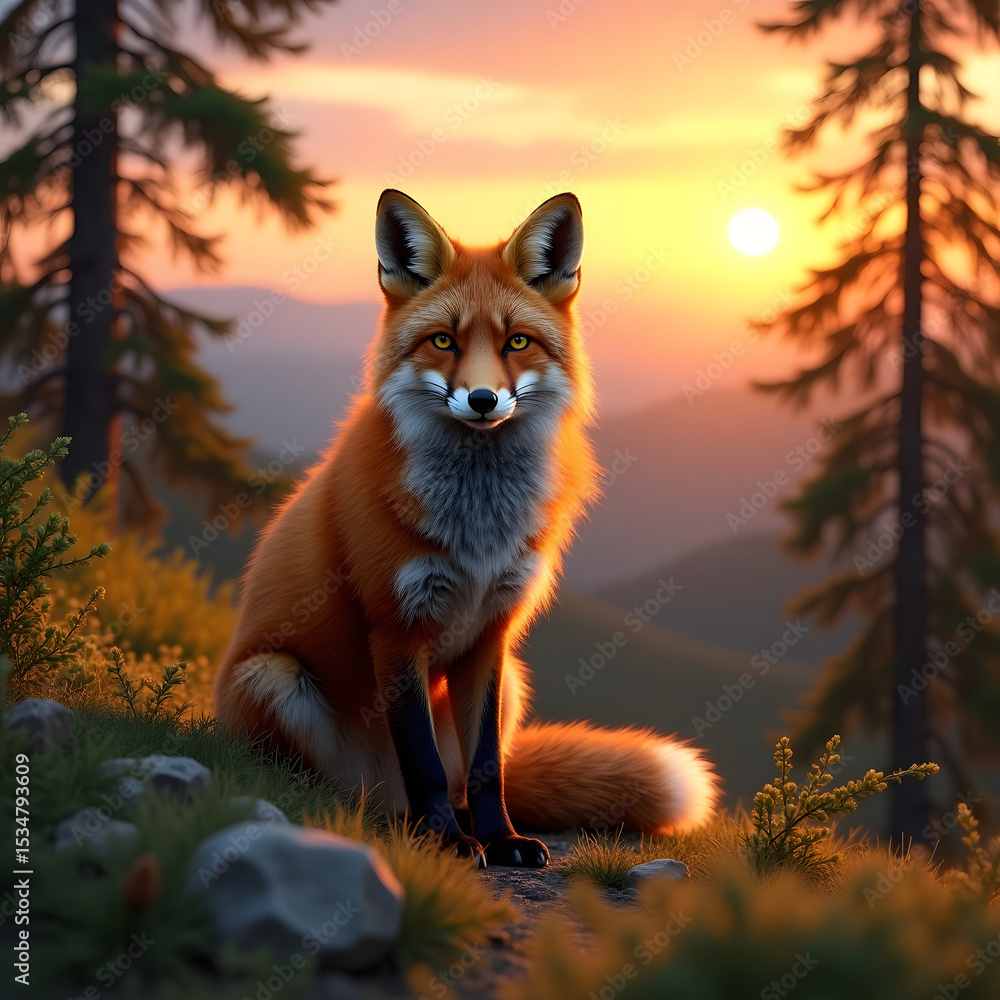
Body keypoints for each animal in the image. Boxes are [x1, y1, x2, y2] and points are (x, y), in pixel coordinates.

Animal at [214, 189, 719, 868]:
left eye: (518, 342)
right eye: (444, 341)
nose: (482, 400)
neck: (478, 529)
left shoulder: (491, 635)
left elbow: (486, 769)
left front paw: (500, 840)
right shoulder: (396, 627)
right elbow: (423, 761)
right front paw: (448, 843)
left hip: (515, 686)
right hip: (273, 678)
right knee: (339, 789)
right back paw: (399, 821)